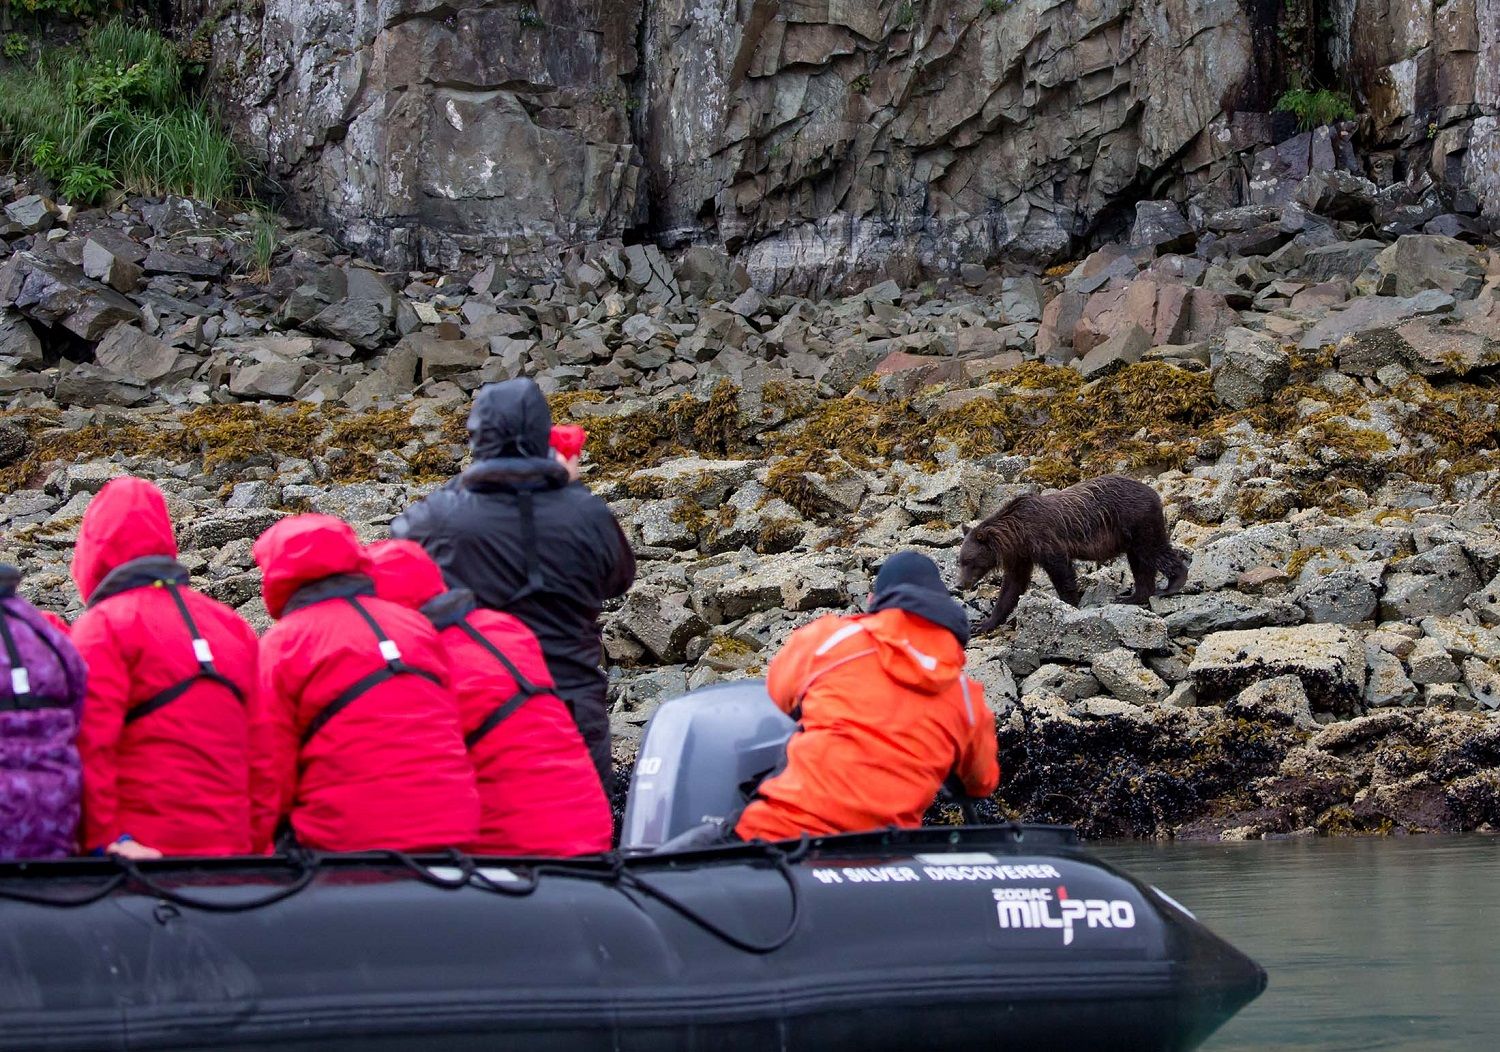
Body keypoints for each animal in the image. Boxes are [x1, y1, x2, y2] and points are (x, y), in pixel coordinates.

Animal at [955, 475, 1190, 634]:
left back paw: (1172, 585)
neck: (1017, 534)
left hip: (1138, 521)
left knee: (1153, 550)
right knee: (1140, 564)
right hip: (1130, 536)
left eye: (969, 561)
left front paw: (1068, 605)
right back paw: (1131, 597)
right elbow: (1012, 587)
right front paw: (983, 623)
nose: (960, 584)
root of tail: (1155, 493)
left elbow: (1062, 572)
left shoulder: (1045, 540)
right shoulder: (1020, 556)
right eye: (959, 561)